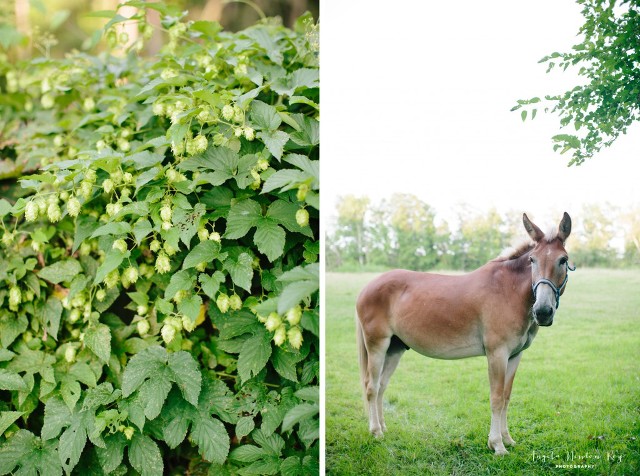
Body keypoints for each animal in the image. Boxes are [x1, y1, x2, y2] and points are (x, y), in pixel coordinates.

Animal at [356, 214, 576, 456]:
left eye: (563, 260)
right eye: (532, 260)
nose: (543, 312)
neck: (508, 291)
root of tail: (366, 288)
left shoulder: (514, 356)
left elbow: (506, 397)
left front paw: (507, 439)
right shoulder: (497, 354)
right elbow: (496, 398)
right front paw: (497, 444)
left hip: (394, 349)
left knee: (381, 386)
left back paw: (383, 427)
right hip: (377, 346)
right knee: (371, 386)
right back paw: (376, 431)